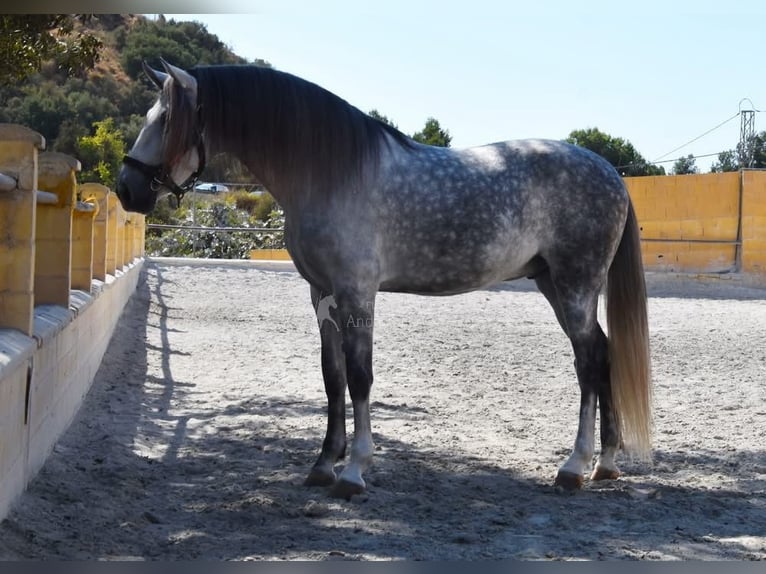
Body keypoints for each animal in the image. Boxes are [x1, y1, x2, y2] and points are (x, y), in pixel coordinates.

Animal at [116, 59, 652, 499]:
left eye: (165, 121)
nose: (127, 189)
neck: (328, 172)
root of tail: (610, 172)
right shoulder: (322, 293)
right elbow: (332, 378)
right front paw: (323, 464)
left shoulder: (357, 292)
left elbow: (360, 376)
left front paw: (354, 471)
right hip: (553, 285)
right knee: (602, 353)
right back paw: (605, 464)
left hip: (575, 286)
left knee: (589, 361)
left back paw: (574, 467)